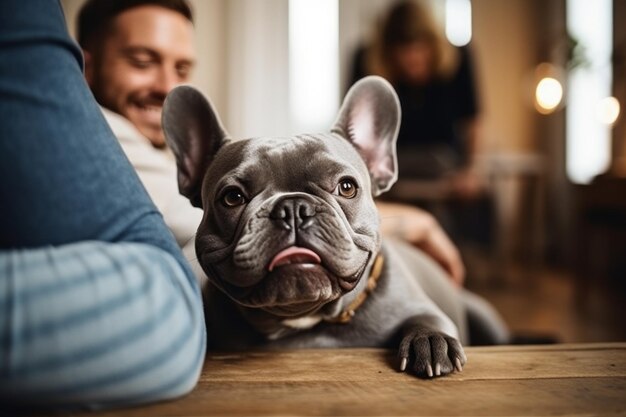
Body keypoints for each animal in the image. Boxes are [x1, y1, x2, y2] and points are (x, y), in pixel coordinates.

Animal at [161, 75, 468, 376]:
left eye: (347, 187)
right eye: (232, 197)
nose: (292, 208)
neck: (303, 317)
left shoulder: (423, 309)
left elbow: (429, 319)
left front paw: (430, 340)